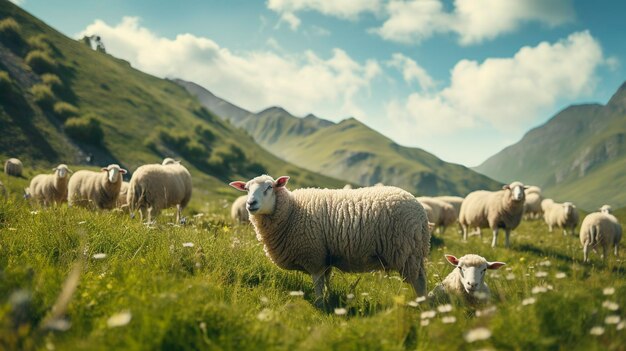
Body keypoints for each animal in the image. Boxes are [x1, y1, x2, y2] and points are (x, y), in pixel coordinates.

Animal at [228, 175, 428, 300]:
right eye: (246, 189)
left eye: (269, 187)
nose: (250, 203)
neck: (292, 211)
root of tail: (420, 211)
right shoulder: (325, 256)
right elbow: (327, 279)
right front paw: (329, 297)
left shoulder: (313, 254)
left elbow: (318, 283)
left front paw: (320, 304)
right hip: (413, 254)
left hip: (407, 253)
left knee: (419, 284)